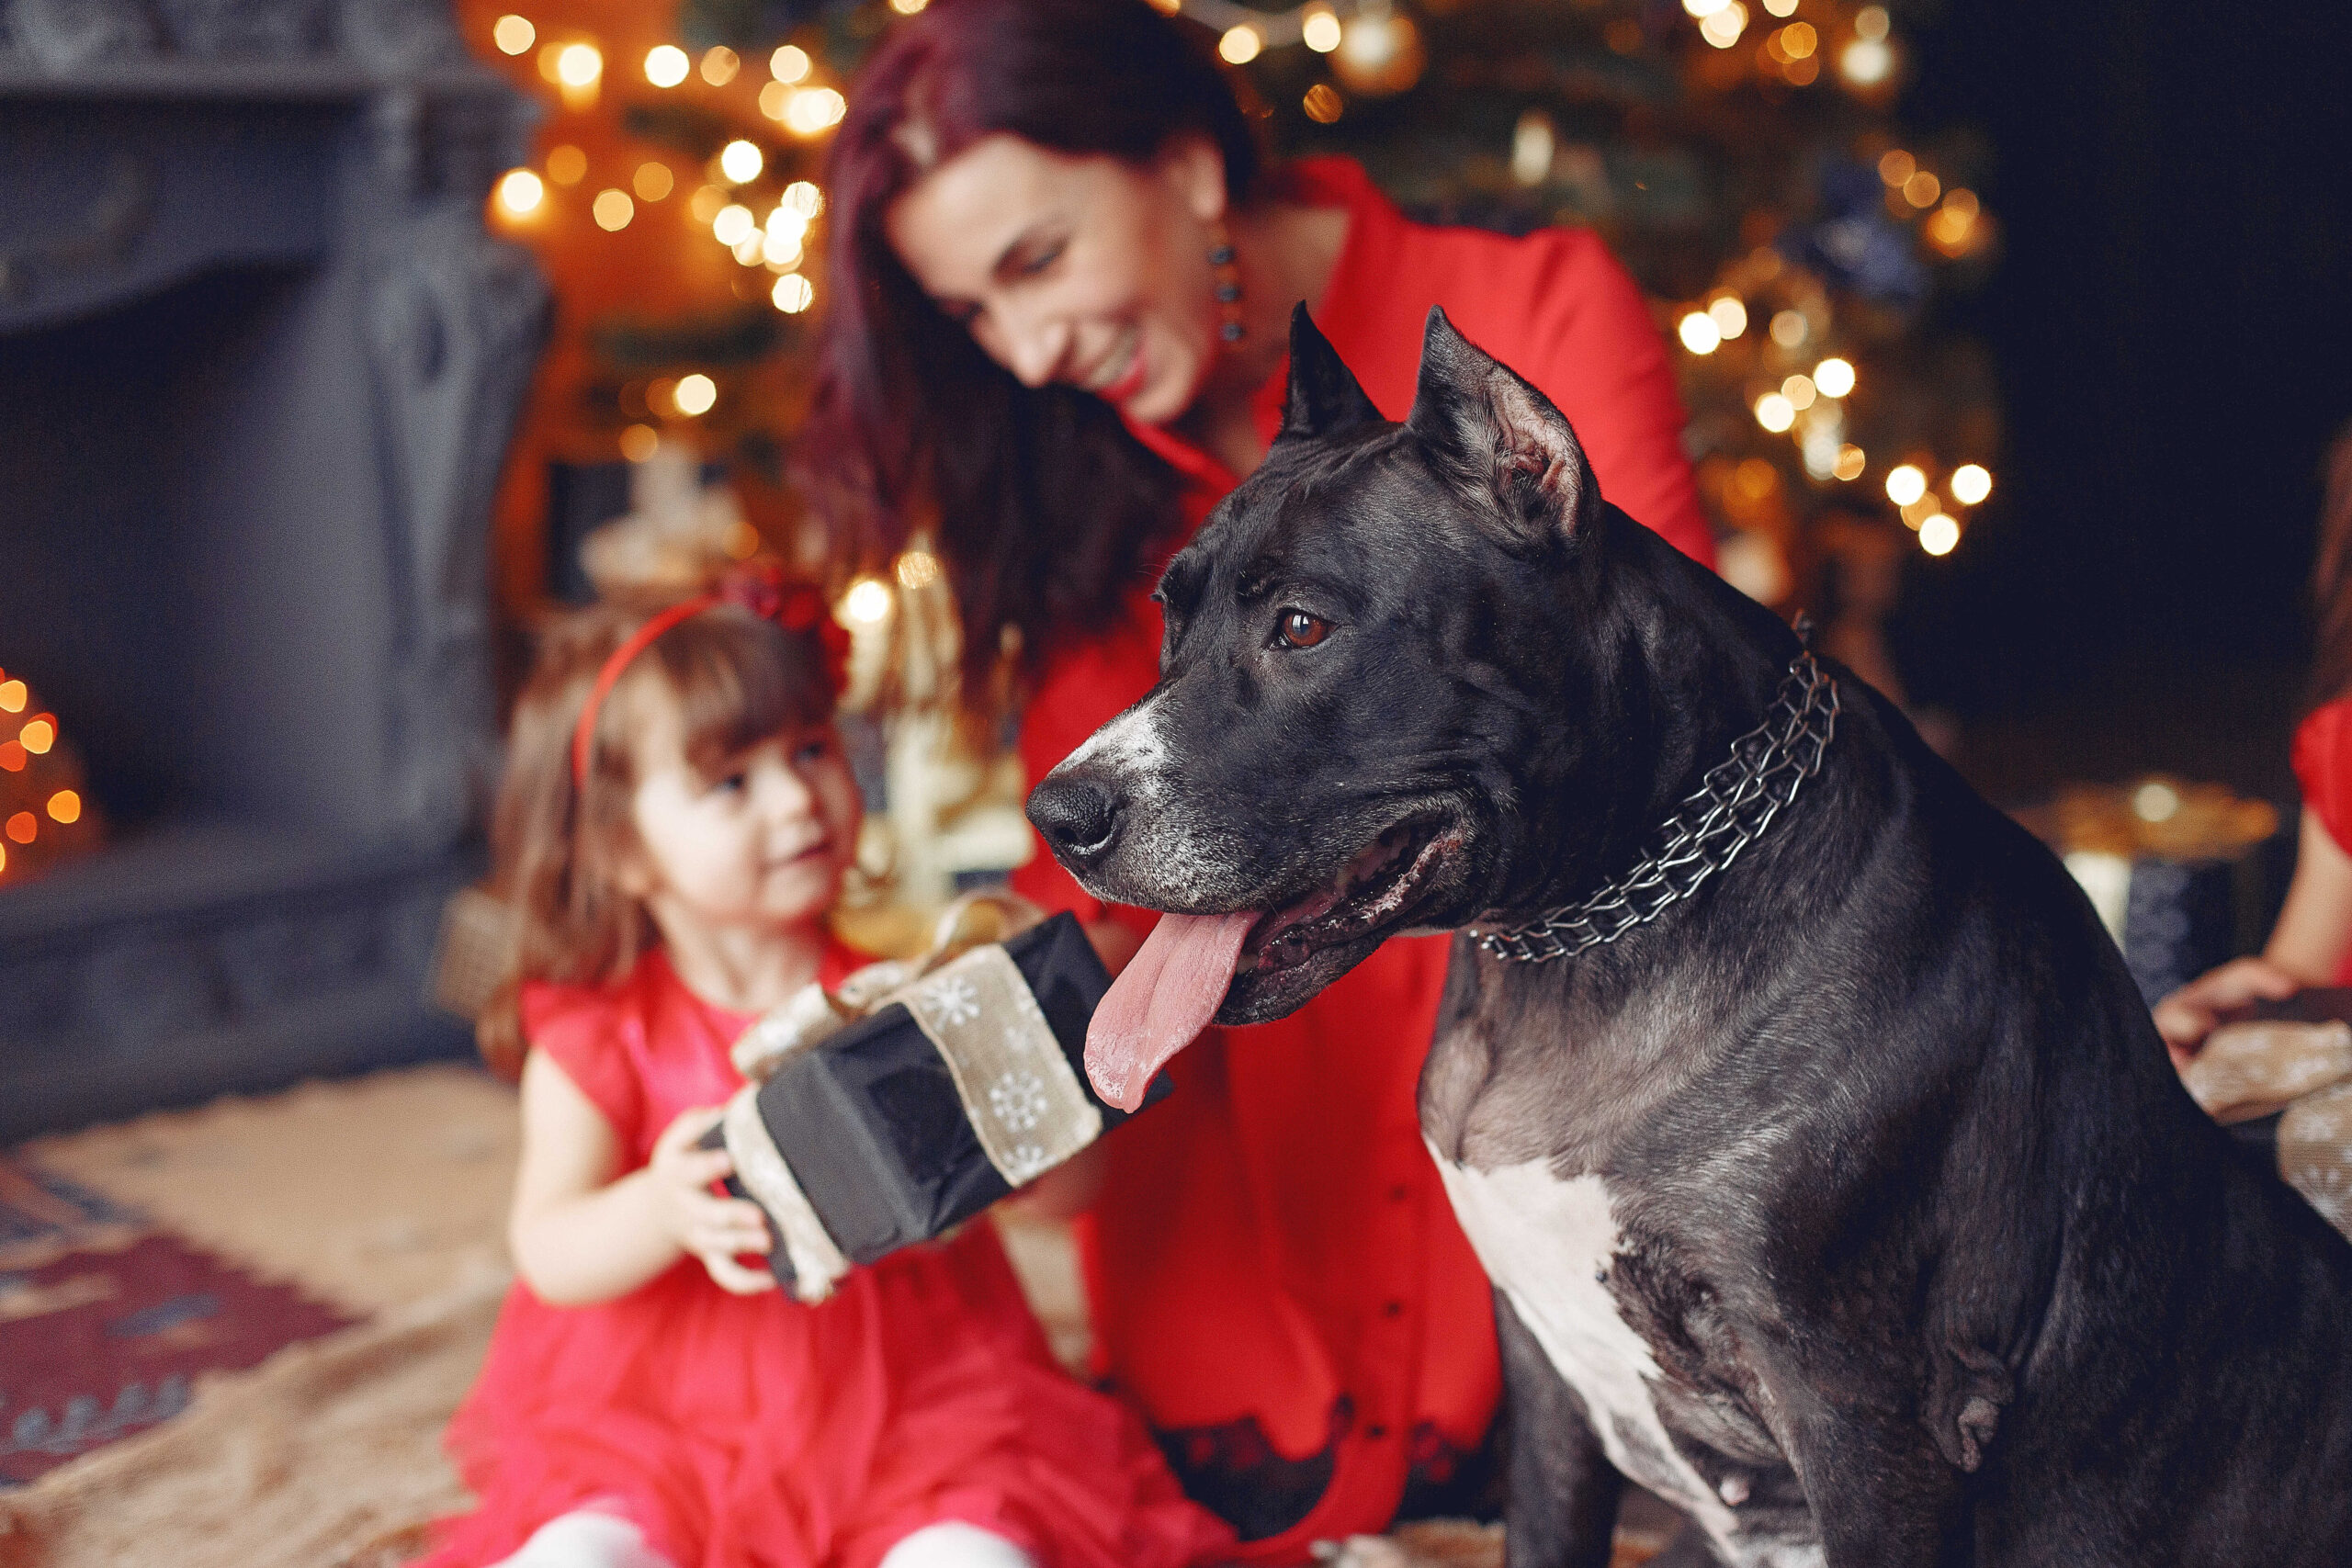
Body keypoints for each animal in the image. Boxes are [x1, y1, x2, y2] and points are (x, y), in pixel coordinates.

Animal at [1030, 310, 2352, 1568]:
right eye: (1167, 615)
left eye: (1302, 628)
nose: (1056, 815)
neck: (1583, 932)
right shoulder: (1547, 1394)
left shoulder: (1867, 1420)